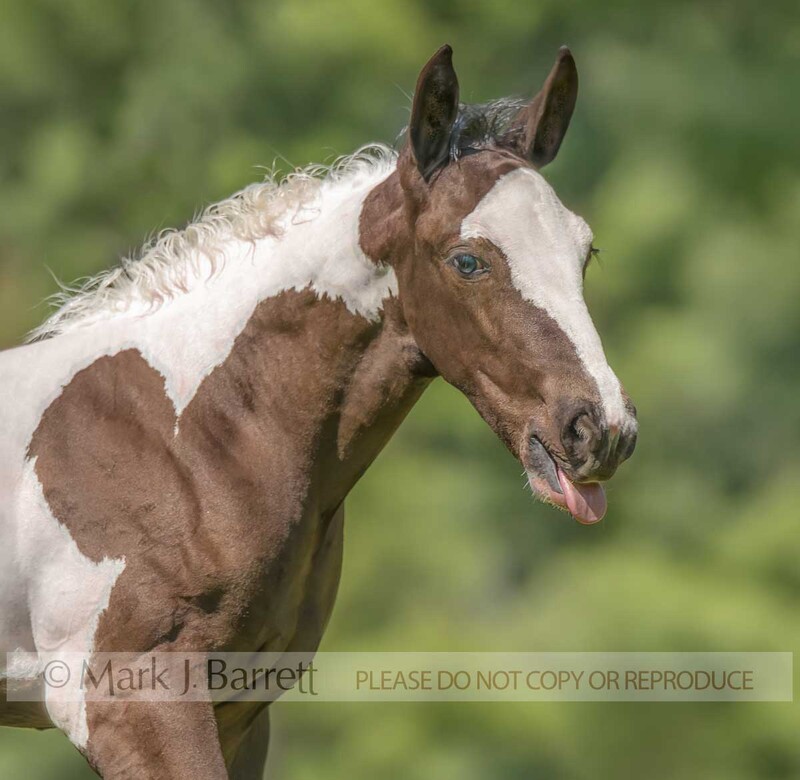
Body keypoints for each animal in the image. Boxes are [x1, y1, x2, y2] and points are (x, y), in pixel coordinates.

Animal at [0, 44, 637, 778]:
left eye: (585, 251)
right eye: (467, 260)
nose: (601, 431)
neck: (180, 447)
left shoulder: (240, 712)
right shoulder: (133, 702)